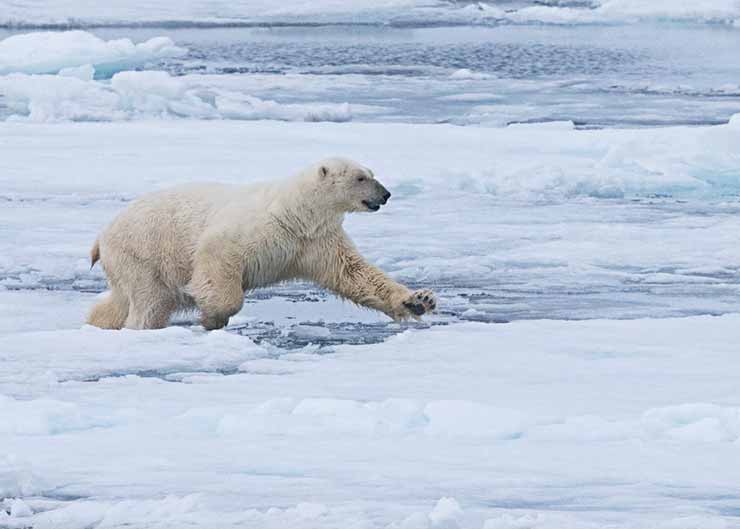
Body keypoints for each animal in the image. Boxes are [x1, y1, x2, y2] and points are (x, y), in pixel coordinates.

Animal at [87, 158, 436, 330]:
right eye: (361, 177)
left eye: (370, 173)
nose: (386, 194)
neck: (295, 212)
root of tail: (102, 237)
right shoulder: (256, 229)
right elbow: (217, 256)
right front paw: (214, 316)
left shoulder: (315, 241)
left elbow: (354, 274)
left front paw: (419, 300)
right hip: (143, 253)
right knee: (149, 302)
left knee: (123, 302)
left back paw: (98, 322)